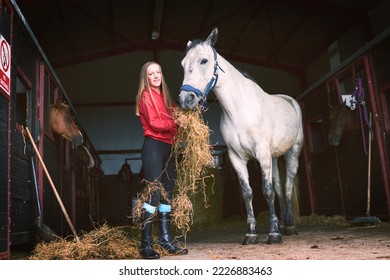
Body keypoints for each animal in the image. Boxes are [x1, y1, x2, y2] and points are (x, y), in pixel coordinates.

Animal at [178, 27, 304, 244]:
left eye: (204, 60)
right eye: (183, 64)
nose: (186, 99)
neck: (239, 110)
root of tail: (290, 101)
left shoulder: (262, 155)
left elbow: (267, 191)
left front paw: (273, 234)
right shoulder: (237, 158)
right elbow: (248, 193)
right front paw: (251, 234)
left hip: (292, 153)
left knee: (287, 187)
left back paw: (290, 226)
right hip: (274, 157)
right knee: (280, 187)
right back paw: (284, 223)